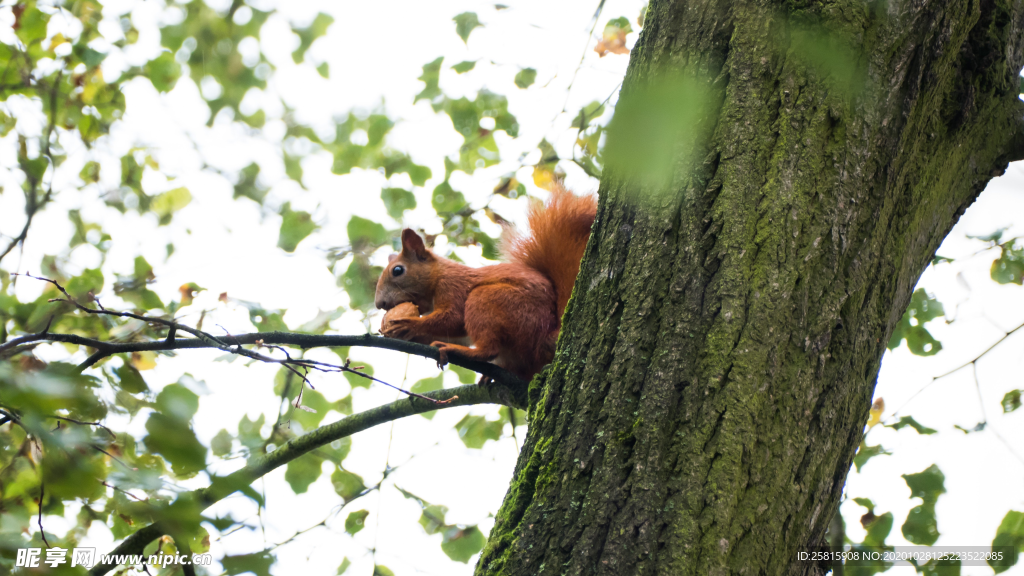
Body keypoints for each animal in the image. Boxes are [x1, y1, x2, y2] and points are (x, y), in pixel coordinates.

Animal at [372, 186, 598, 379]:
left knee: (489, 349)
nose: (379, 304)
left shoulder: (452, 286)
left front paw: (409, 324)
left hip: (493, 301)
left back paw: (461, 352)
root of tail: (546, 335)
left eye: (398, 270)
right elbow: (453, 333)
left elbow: (453, 318)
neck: (437, 276)